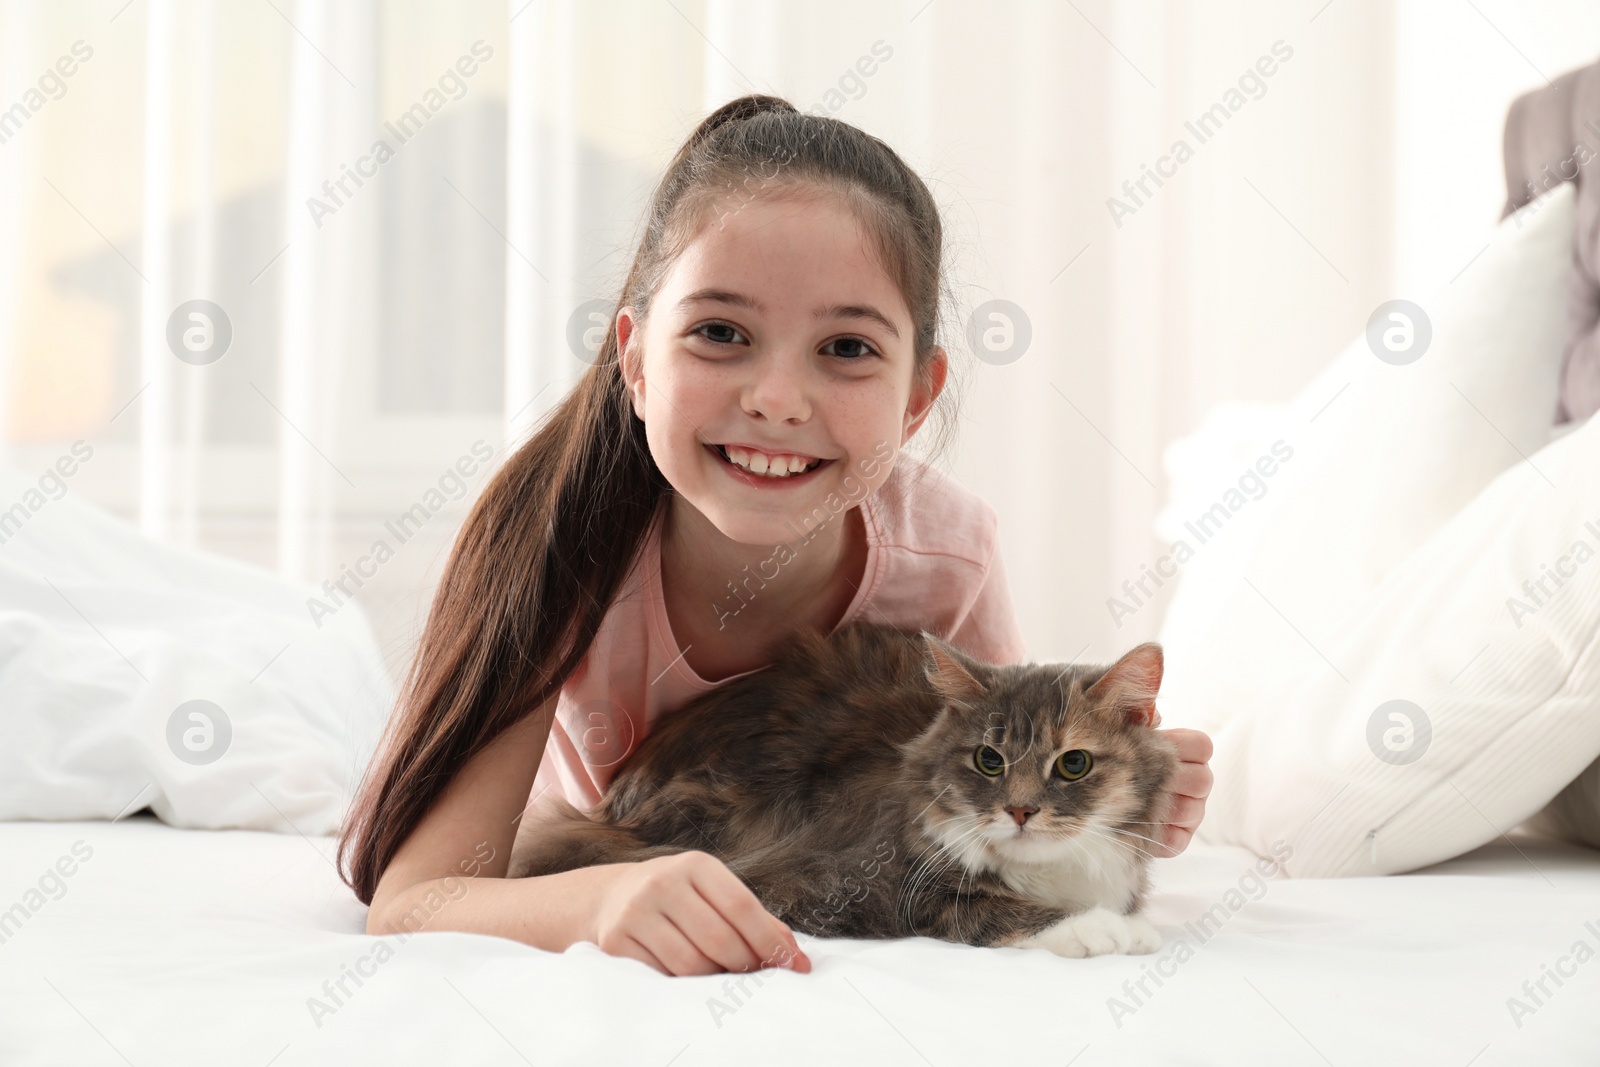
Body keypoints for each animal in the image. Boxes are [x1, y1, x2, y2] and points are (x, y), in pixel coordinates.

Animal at [505, 617, 1184, 959]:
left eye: (1073, 766)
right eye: (989, 760)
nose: (1019, 810)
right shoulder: (851, 883)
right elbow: (998, 909)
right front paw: (1112, 932)